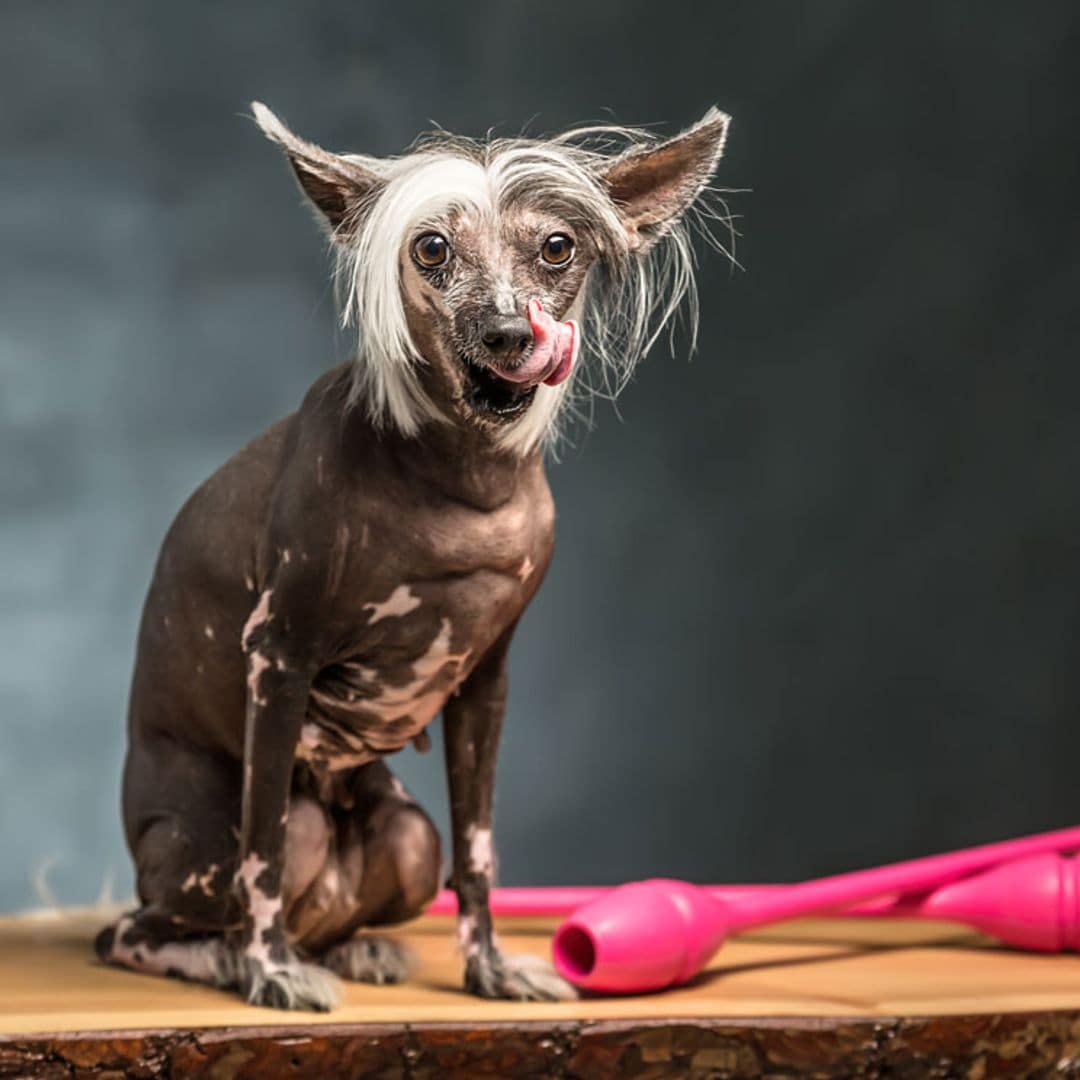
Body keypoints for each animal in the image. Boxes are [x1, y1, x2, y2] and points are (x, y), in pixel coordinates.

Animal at [97, 97, 730, 1006]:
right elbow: (263, 849)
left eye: (557, 246)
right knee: (144, 925)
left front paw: (491, 969)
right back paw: (233, 958)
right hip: (208, 851)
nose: (507, 333)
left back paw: (354, 948)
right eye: (431, 248)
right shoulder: (276, 659)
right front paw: (270, 972)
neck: (463, 483)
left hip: (406, 835)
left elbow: (479, 849)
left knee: (383, 873)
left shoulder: (486, 685)